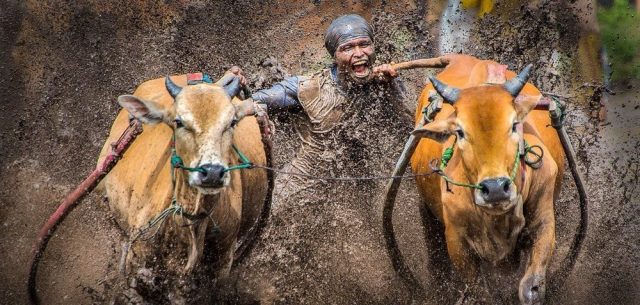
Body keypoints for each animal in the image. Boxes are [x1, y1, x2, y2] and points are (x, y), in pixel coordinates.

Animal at [410, 54, 564, 304]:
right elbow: (480, 292)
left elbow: (530, 288)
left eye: (514, 124)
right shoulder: (456, 241)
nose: (496, 189)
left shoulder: (544, 220)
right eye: (460, 131)